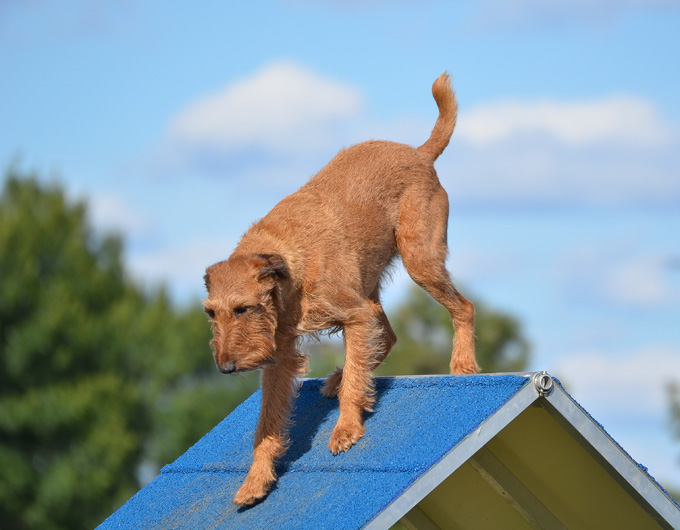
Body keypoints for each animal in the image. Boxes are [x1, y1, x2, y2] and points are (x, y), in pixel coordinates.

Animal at [202, 72, 478, 506]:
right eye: (211, 312)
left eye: (244, 309)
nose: (226, 367)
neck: (289, 261)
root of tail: (419, 153)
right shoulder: (281, 357)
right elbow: (266, 425)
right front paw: (256, 480)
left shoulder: (353, 314)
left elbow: (353, 383)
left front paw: (345, 429)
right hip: (374, 286)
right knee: (386, 338)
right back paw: (337, 378)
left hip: (420, 261)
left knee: (462, 308)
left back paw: (462, 365)